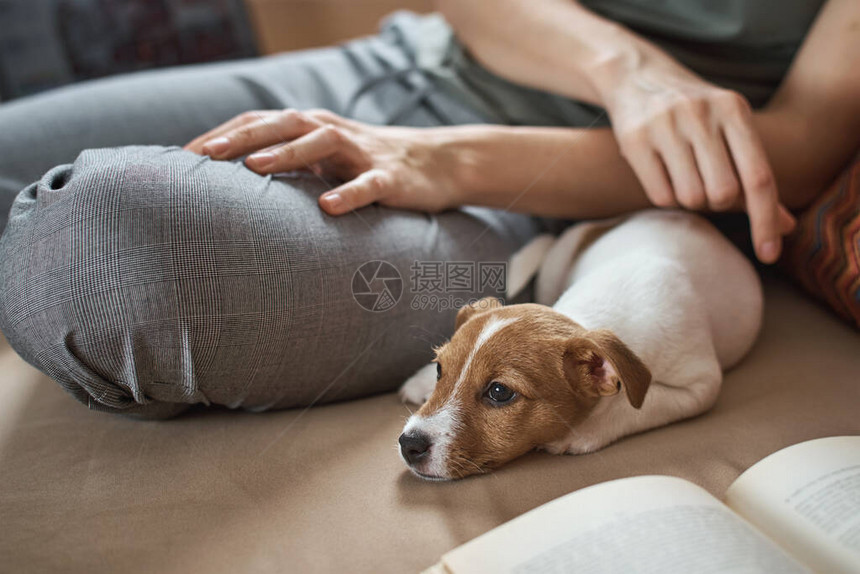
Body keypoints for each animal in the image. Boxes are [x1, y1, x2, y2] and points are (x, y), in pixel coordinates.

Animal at [400, 210, 764, 482]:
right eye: (440, 369)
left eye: (500, 392)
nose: (408, 444)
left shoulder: (700, 387)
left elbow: (637, 406)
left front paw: (583, 430)